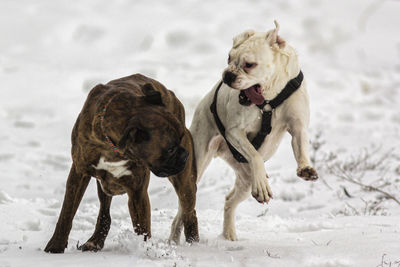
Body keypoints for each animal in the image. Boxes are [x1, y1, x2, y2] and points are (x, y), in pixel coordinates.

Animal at [44, 74, 199, 254]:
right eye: (170, 149)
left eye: (181, 137)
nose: (185, 155)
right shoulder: (79, 173)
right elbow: (67, 213)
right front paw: (56, 246)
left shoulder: (137, 191)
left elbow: (142, 226)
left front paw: (145, 249)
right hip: (104, 186)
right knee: (104, 214)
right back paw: (95, 241)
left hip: (184, 183)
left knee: (189, 213)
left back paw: (194, 243)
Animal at [168, 21, 316, 243]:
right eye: (229, 58)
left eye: (249, 64)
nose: (228, 74)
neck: (270, 98)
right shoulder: (235, 132)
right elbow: (255, 155)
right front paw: (262, 186)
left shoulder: (298, 125)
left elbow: (301, 146)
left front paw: (305, 167)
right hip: (197, 166)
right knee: (182, 208)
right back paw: (174, 240)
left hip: (246, 181)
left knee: (229, 200)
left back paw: (228, 235)